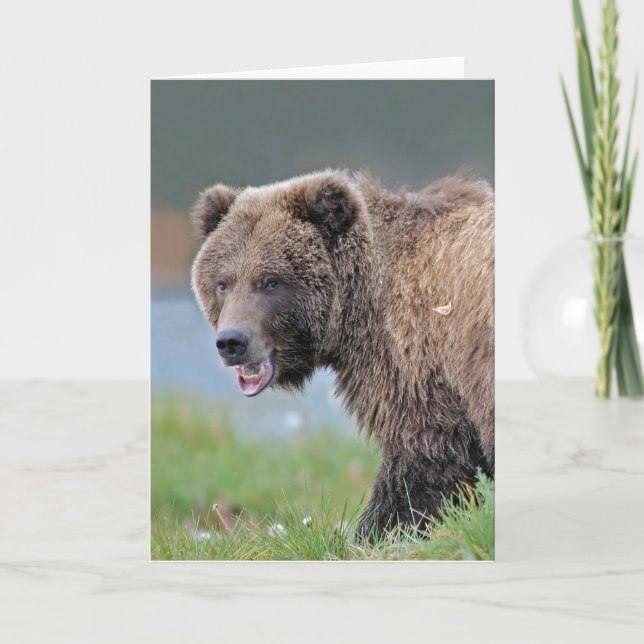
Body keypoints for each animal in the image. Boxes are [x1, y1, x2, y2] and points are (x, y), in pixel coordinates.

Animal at [191, 169, 494, 539]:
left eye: (270, 281)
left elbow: (424, 458)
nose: (232, 341)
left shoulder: (417, 360)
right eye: (223, 283)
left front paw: (375, 533)